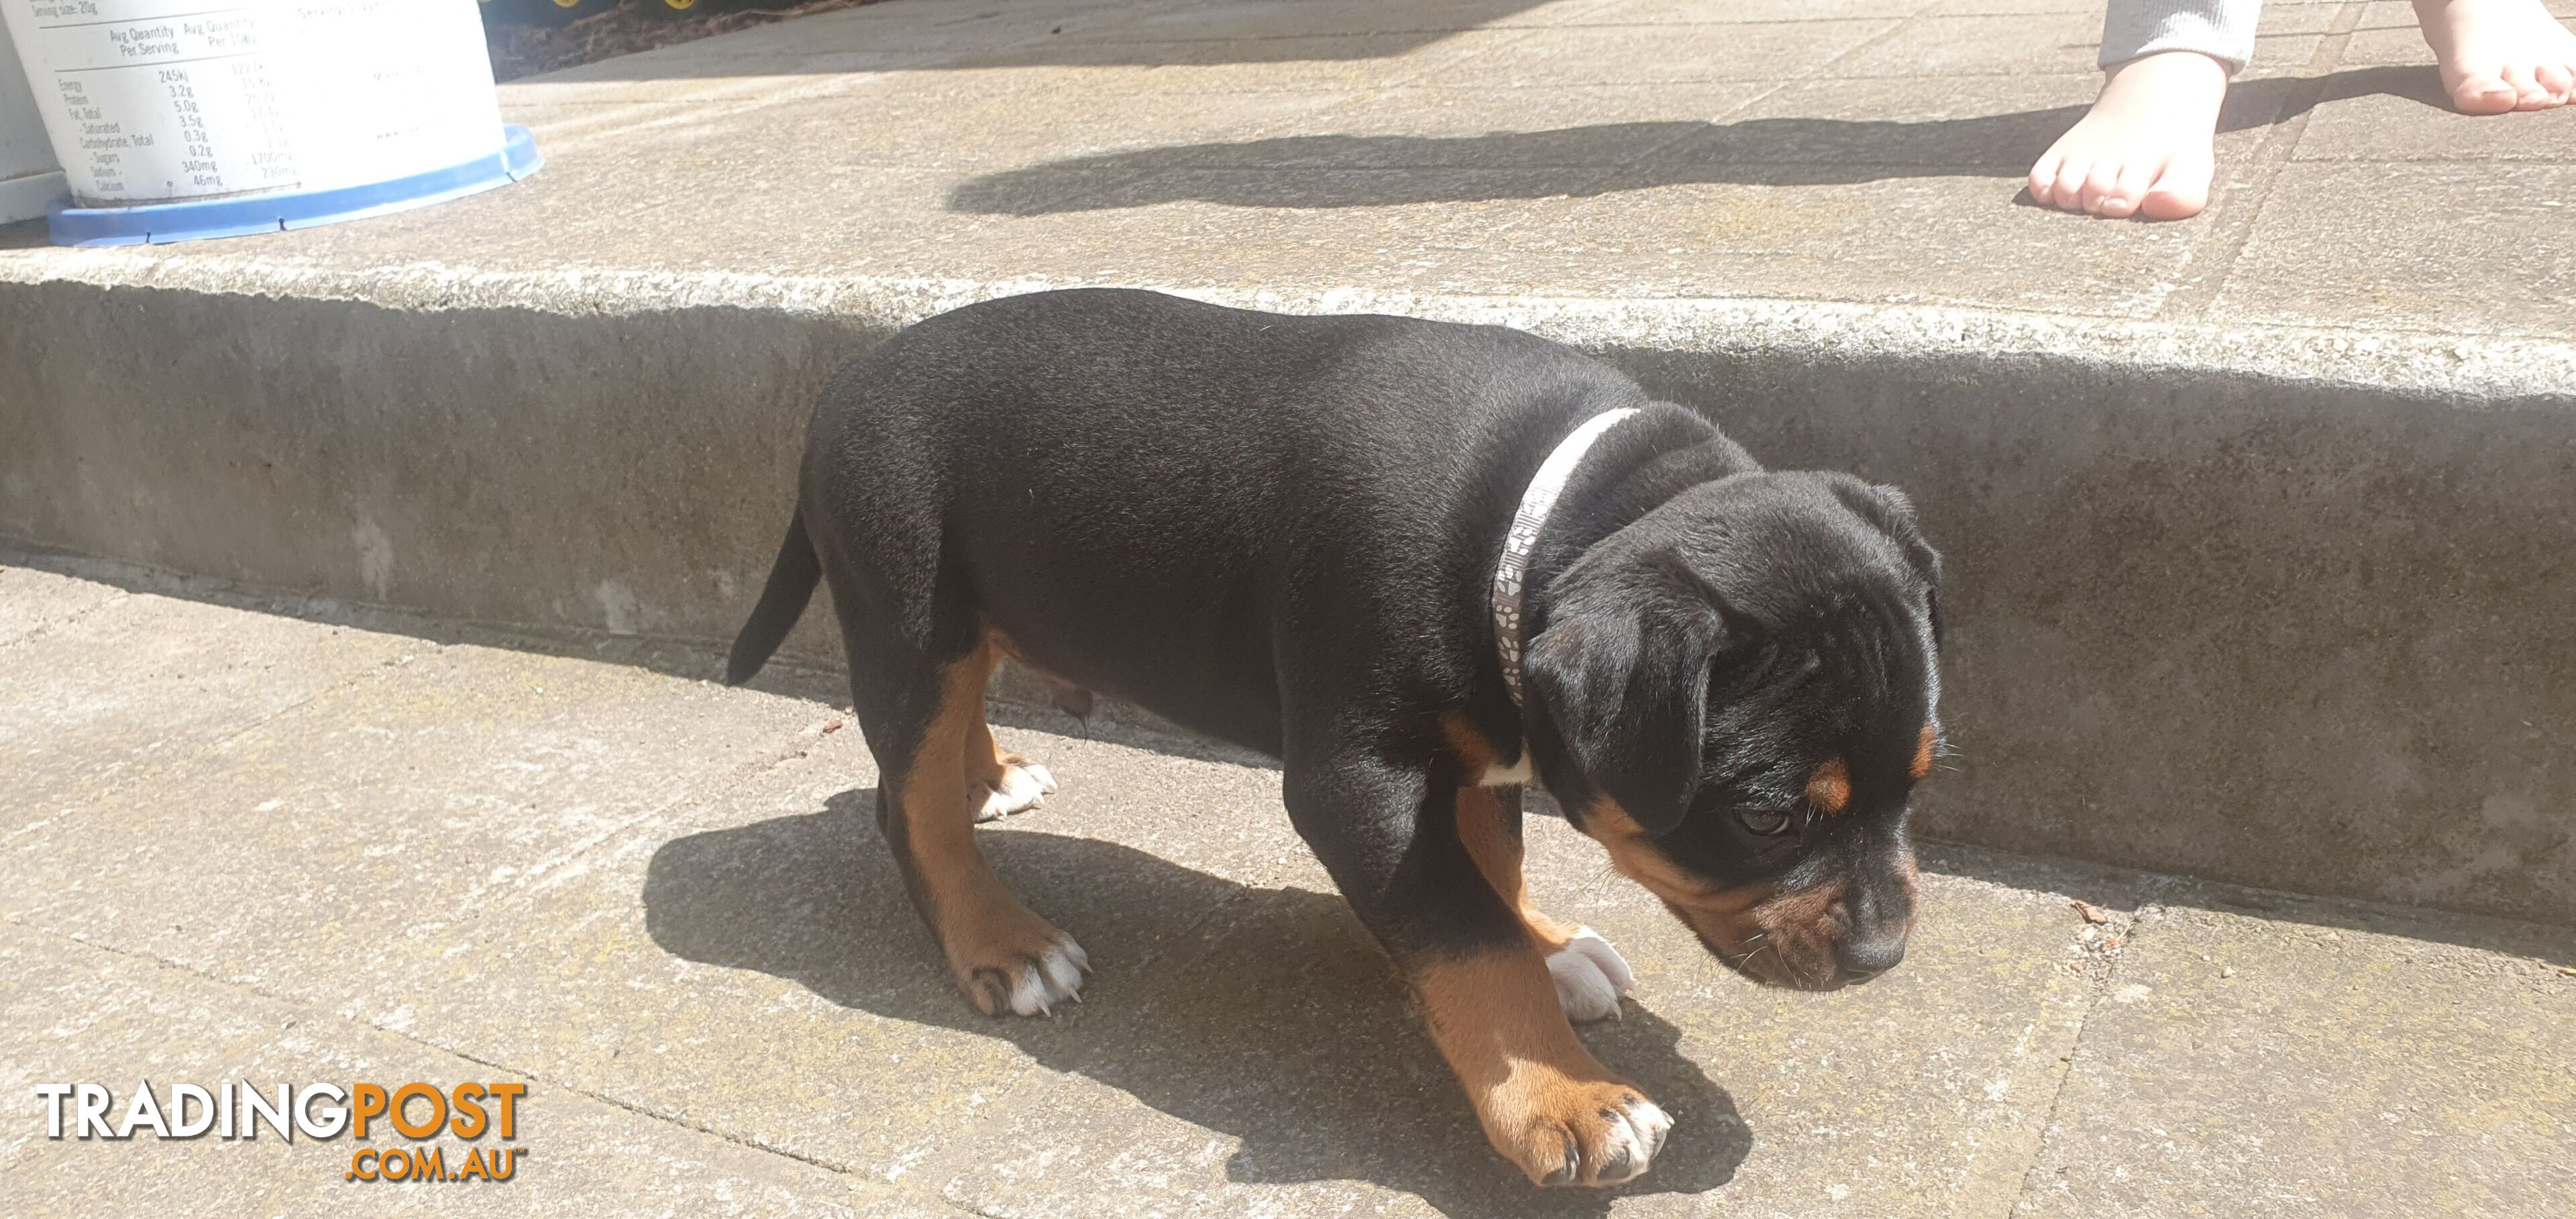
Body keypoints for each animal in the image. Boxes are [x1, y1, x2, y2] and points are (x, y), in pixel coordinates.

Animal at [726, 282, 1937, 1180]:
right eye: (1768, 817)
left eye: (1919, 784)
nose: (1886, 953)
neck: (1525, 519)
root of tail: (843, 386)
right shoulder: (1359, 781)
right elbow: (1463, 932)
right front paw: (1562, 1093)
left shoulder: (1477, 744)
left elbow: (1490, 871)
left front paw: (1551, 950)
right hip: (905, 607)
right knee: (907, 802)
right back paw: (1002, 941)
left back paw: (994, 776)